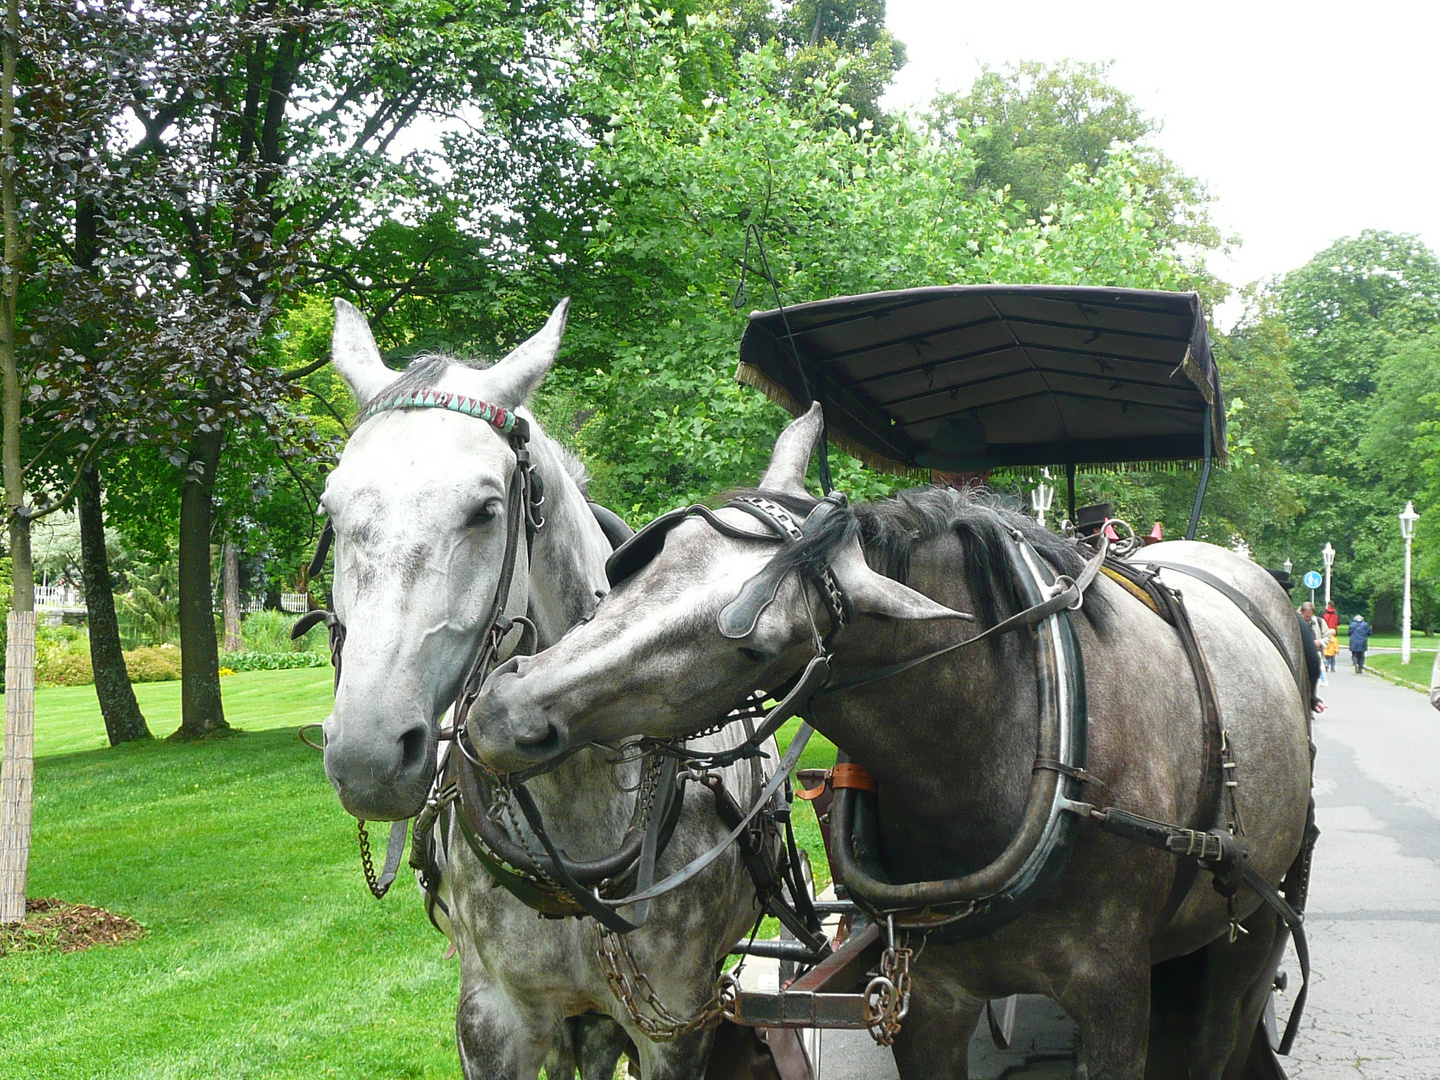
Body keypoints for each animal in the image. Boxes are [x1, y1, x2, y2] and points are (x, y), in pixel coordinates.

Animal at [472, 406, 1319, 1080]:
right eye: (649, 561)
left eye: (756, 647)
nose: (503, 708)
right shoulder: (929, 998)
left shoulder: (1112, 995)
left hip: (1254, 928)